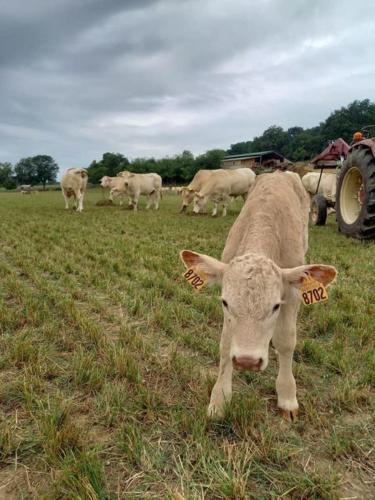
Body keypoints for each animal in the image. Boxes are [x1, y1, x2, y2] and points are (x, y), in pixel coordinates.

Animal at [180, 172, 338, 422]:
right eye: (225, 303)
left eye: (275, 306)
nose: (247, 361)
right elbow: (226, 343)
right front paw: (219, 400)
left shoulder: (291, 294)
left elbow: (286, 341)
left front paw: (287, 397)